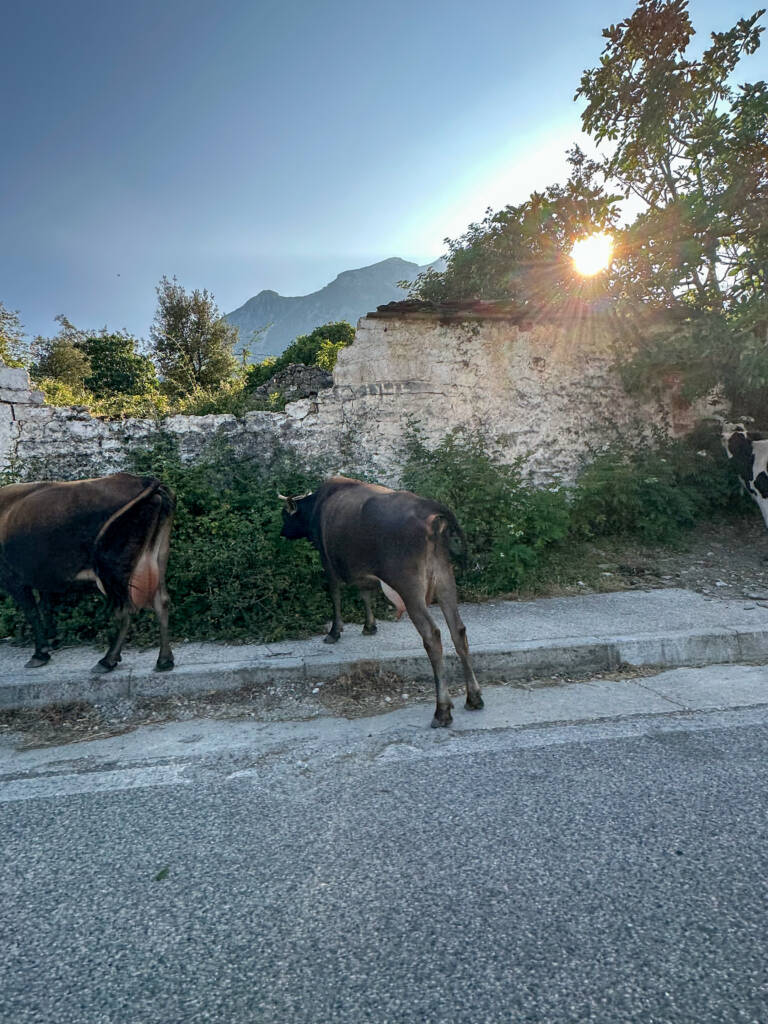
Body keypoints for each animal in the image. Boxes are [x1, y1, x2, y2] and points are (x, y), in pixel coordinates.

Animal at [0, 472, 175, 674]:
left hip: (113, 569)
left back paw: (108, 660)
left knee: (125, 610)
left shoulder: (12, 578)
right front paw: (52, 640)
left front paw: (40, 653)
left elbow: (32, 612)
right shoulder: (42, 576)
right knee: (161, 601)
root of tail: (143, 480)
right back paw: (164, 660)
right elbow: (46, 606)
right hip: (158, 556)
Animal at [279, 476, 483, 728]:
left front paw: (334, 631)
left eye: (285, 515)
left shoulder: (328, 562)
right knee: (458, 630)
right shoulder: (363, 571)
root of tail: (431, 510)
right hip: (444, 578)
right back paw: (473, 697)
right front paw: (370, 625)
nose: (282, 532)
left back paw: (442, 710)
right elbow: (366, 593)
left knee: (433, 636)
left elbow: (335, 595)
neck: (318, 505)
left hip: (410, 587)